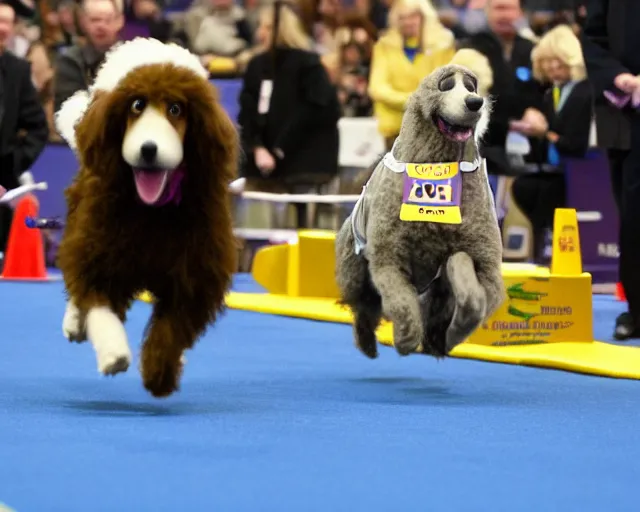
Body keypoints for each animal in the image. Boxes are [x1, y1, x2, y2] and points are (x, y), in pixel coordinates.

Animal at [336, 65, 504, 360]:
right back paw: (368, 343)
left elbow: (473, 298)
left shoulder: (483, 259)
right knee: (364, 305)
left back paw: (434, 340)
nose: (475, 102)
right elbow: (402, 302)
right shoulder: (389, 257)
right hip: (355, 268)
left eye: (471, 87)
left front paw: (449, 336)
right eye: (446, 86)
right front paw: (405, 338)